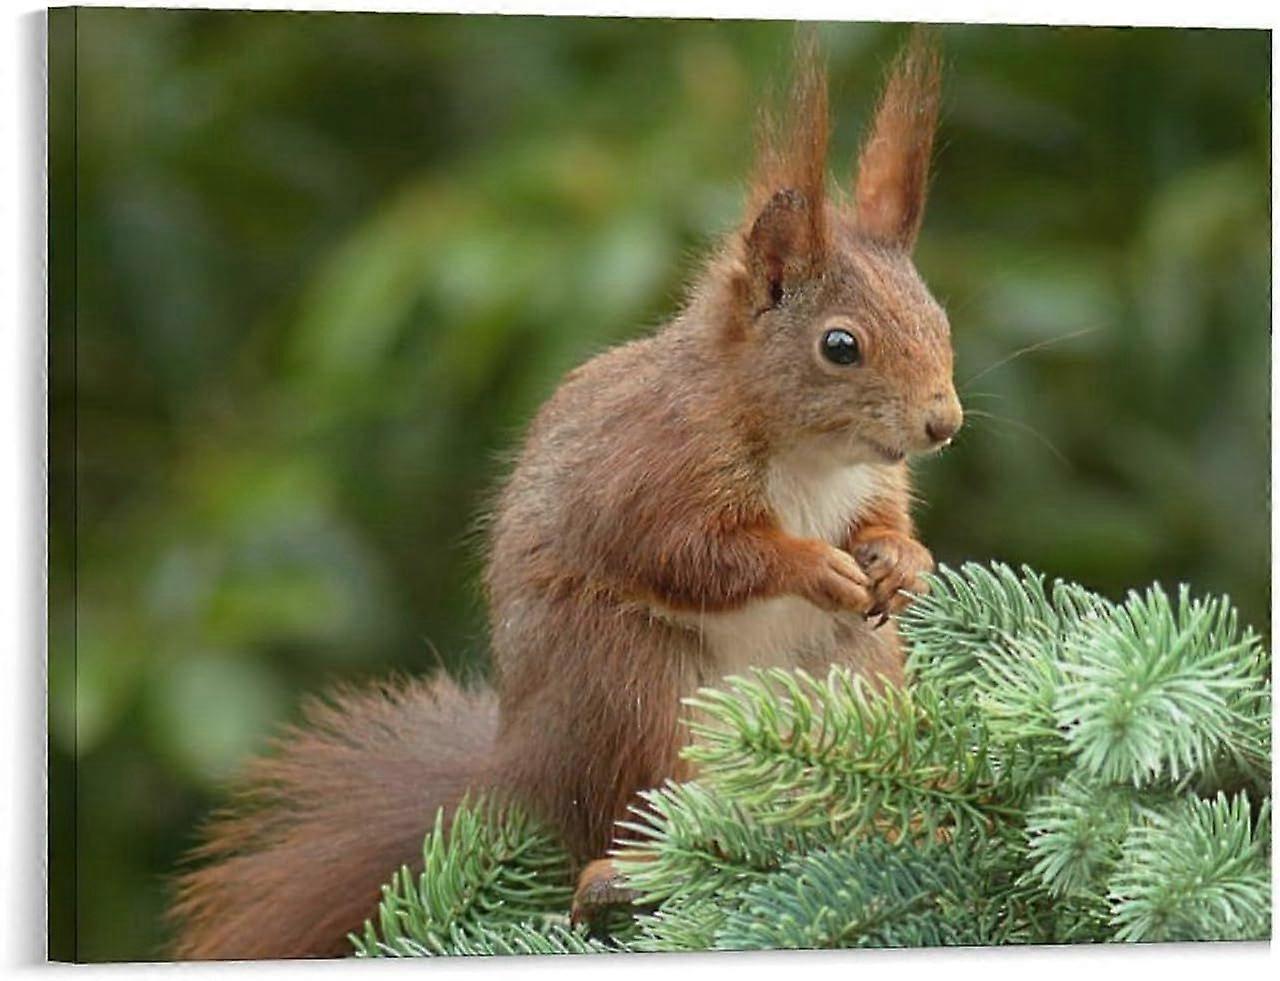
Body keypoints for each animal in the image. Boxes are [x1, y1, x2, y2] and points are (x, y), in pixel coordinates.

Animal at [169, 28, 962, 960]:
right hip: (625, 686)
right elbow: (699, 554)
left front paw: (903, 562)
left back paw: (886, 825)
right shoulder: (649, 469)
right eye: (841, 345)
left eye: (940, 318)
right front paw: (813, 567)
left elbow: (884, 520)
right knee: (624, 815)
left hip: (846, 677)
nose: (943, 422)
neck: (809, 456)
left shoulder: (874, 481)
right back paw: (622, 871)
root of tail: (518, 772)